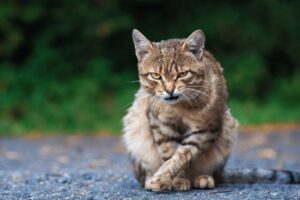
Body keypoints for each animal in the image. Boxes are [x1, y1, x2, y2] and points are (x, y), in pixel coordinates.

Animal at [122, 28, 300, 191]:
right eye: (156, 76)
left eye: (183, 74)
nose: (169, 90)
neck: (179, 108)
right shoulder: (161, 127)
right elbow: (169, 153)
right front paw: (173, 180)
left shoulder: (205, 129)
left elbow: (182, 155)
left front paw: (166, 178)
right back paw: (150, 178)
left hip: (228, 129)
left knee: (213, 174)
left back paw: (203, 178)